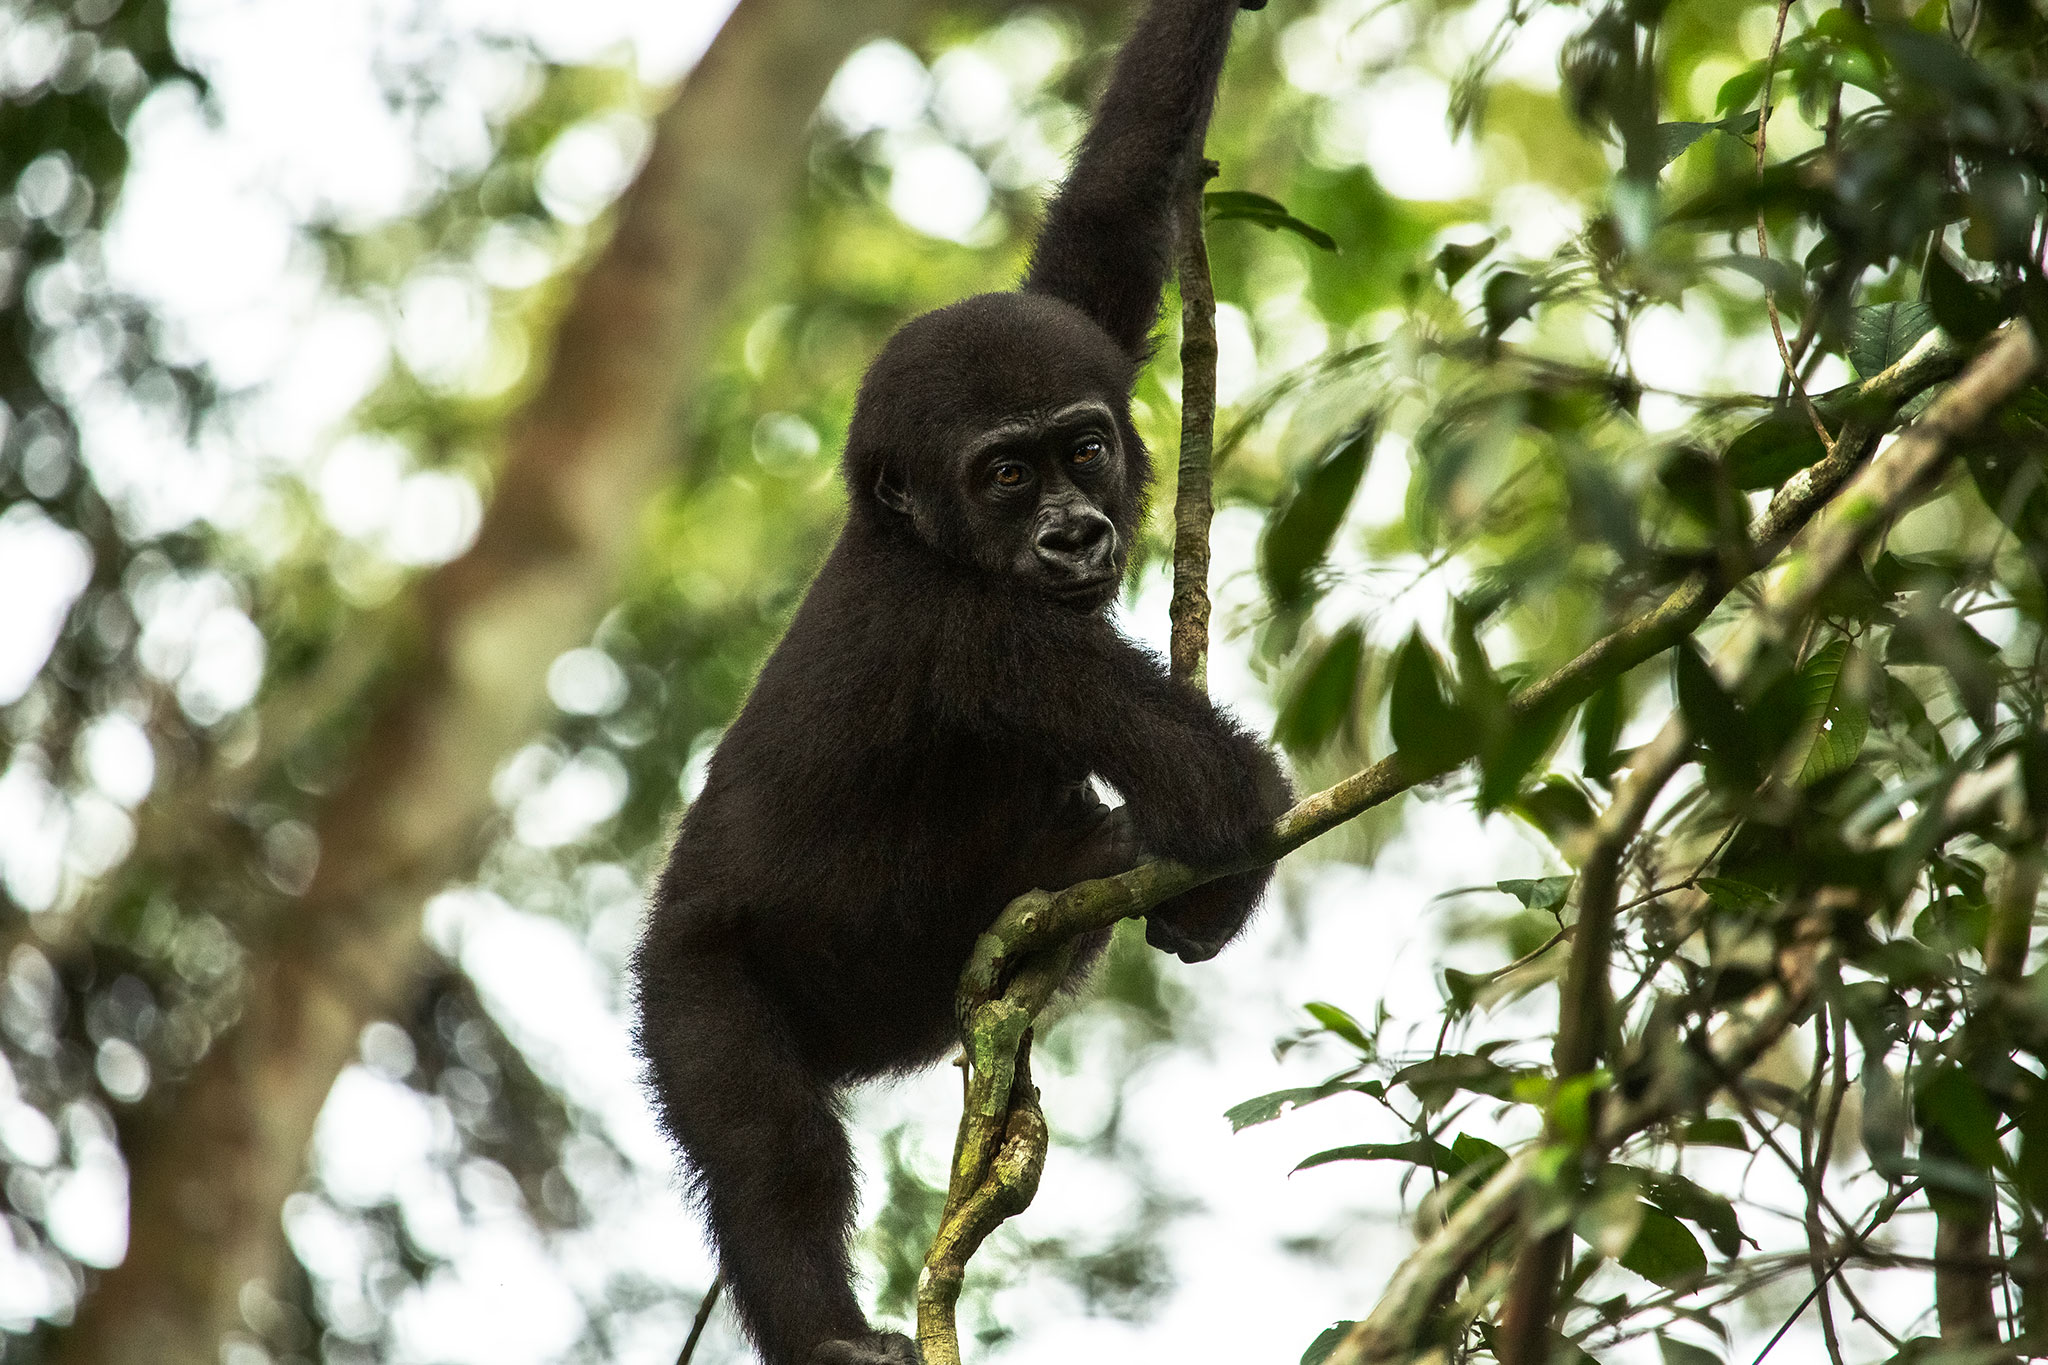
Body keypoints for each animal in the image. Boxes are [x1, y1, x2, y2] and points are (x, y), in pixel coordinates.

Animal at [634, 2, 1277, 1365]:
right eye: (1005, 476)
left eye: (1082, 448)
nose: (1075, 535)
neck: (916, 537)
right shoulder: (980, 634)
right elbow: (1220, 789)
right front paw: (1217, 879)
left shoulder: (1081, 329)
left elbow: (1112, 204)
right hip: (687, 992)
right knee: (772, 1153)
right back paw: (825, 1332)